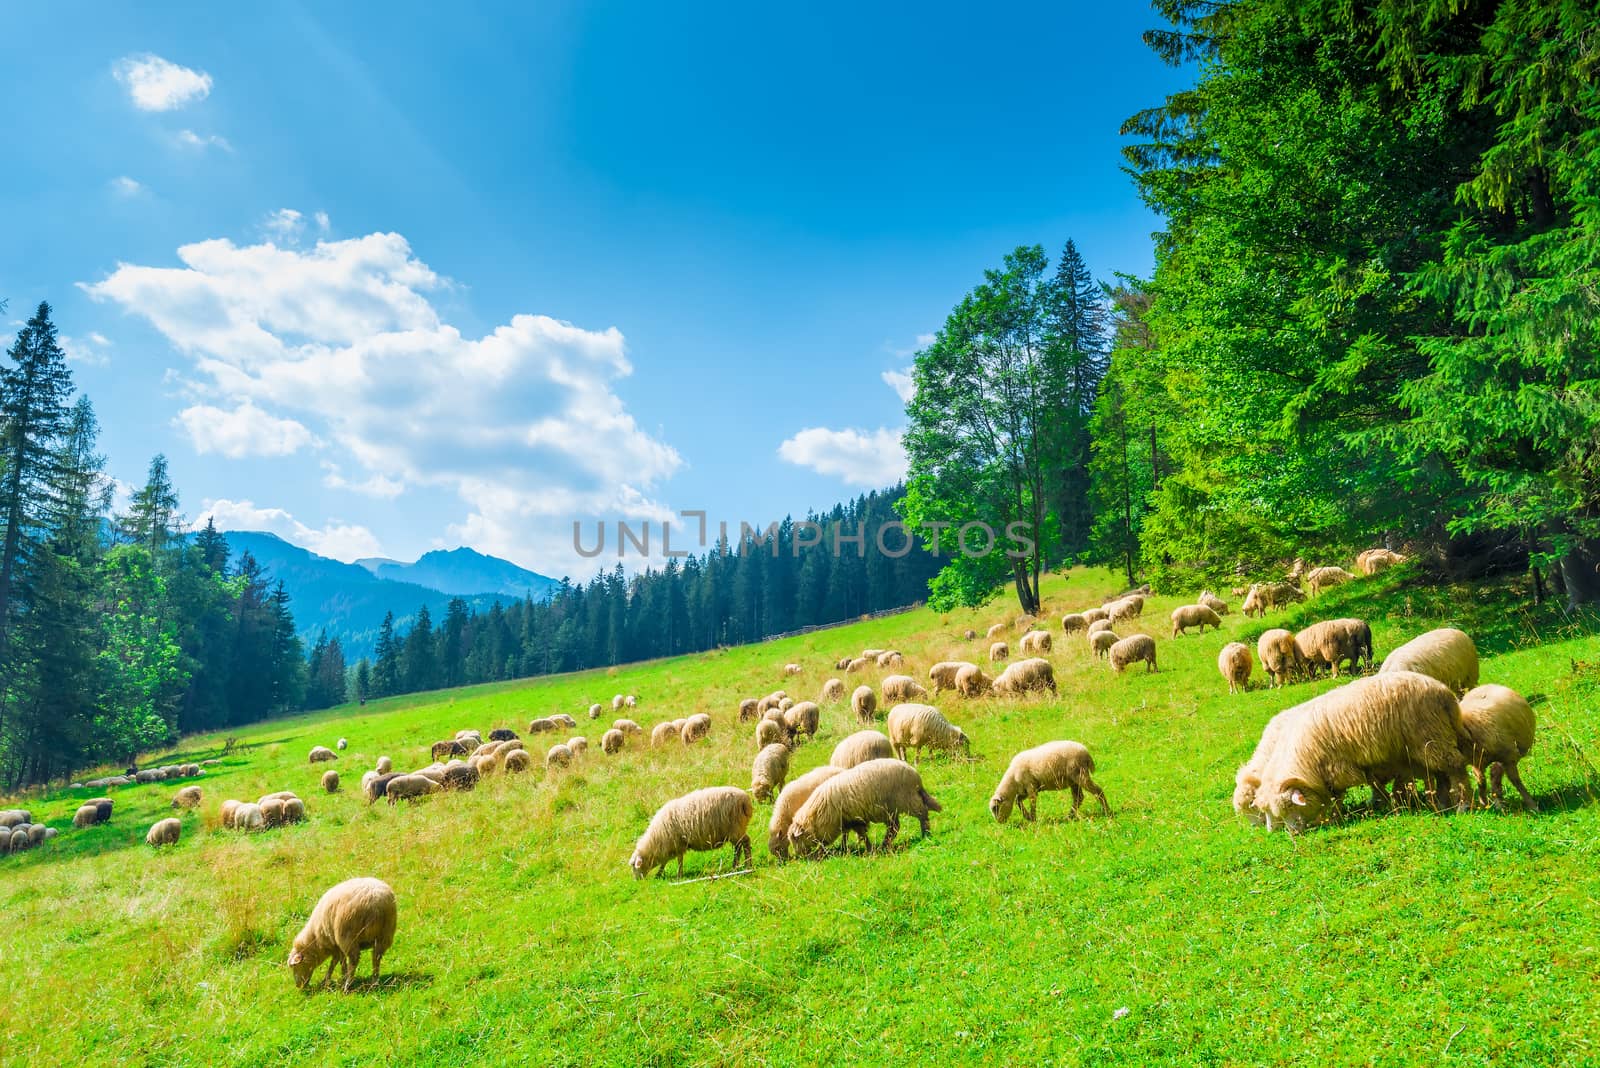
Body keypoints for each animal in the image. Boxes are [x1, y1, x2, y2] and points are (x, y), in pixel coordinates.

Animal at [624, 783, 755, 876]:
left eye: (634, 866)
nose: (636, 881)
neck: (655, 842)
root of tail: (745, 800)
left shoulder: (677, 844)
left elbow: (679, 860)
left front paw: (678, 875)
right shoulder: (670, 847)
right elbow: (665, 861)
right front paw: (659, 874)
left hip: (736, 828)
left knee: (745, 843)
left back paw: (748, 865)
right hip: (735, 831)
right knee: (738, 847)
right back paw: (735, 866)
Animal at [784, 754, 940, 856]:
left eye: (795, 839)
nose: (801, 856)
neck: (816, 816)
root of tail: (915, 775)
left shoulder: (854, 819)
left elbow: (861, 835)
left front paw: (868, 849)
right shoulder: (847, 821)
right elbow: (850, 836)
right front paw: (843, 849)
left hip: (907, 800)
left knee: (922, 813)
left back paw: (925, 834)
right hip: (891, 809)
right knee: (894, 827)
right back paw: (884, 845)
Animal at [985, 741, 1113, 824]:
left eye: (995, 808)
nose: (999, 822)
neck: (1012, 781)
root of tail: (1086, 753)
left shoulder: (1031, 787)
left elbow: (1032, 803)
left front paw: (1033, 819)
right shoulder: (1027, 789)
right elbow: (1018, 801)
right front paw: (1027, 817)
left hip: (1080, 775)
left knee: (1097, 791)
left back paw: (1107, 812)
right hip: (1073, 780)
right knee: (1079, 797)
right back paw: (1069, 816)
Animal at [1248, 668, 1472, 831]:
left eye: (1289, 807)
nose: (1292, 833)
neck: (1305, 759)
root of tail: (1444, 692)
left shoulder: (1336, 768)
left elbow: (1337, 797)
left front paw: (1335, 818)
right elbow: (1372, 783)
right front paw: (1385, 802)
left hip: (1430, 736)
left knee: (1455, 767)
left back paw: (1463, 805)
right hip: (1431, 742)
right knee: (1441, 772)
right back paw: (1444, 803)